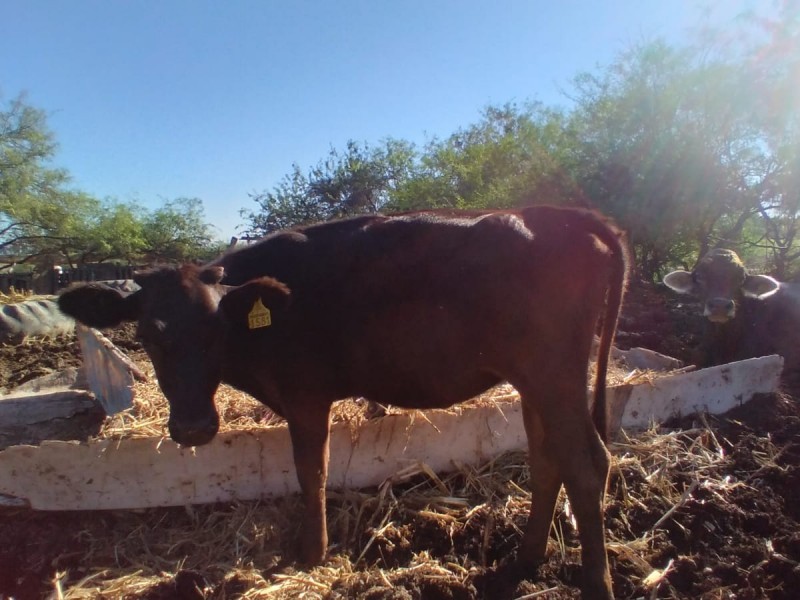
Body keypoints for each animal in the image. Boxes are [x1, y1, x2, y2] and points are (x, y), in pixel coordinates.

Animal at [59, 207, 628, 600]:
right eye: (147, 335)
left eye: (215, 331)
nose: (195, 428)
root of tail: (561, 213)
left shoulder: (306, 395)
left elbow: (311, 472)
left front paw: (311, 553)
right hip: (534, 381)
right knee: (548, 461)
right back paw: (524, 562)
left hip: (554, 376)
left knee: (587, 464)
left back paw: (594, 584)